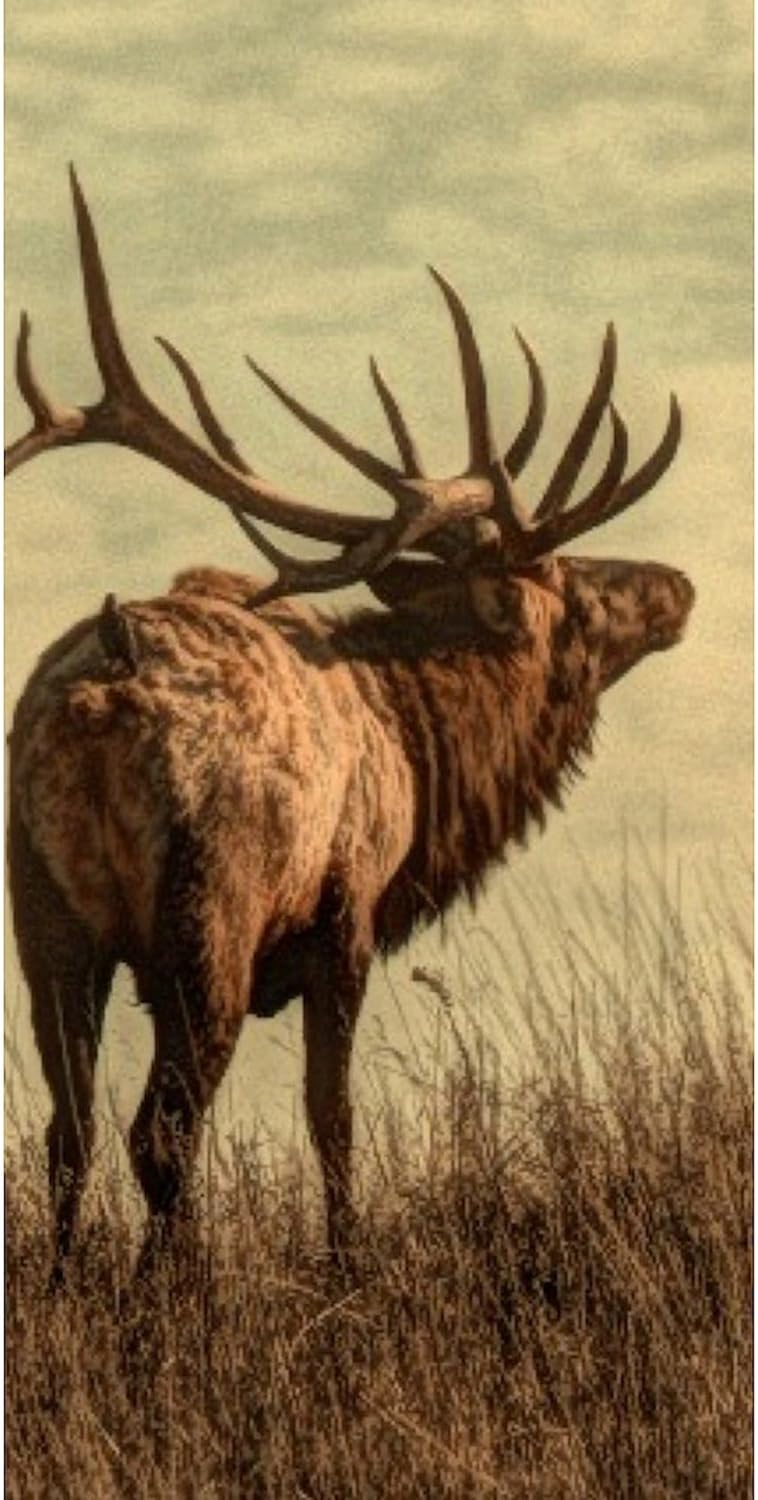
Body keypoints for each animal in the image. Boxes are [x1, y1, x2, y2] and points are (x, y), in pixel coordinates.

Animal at [6, 170, 694, 1285]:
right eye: (576, 595)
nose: (676, 586)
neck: (424, 749)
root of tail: (101, 685)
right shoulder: (347, 918)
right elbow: (333, 1119)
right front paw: (348, 1265)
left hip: (43, 915)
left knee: (66, 1133)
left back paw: (71, 1283)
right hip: (211, 907)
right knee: (160, 1131)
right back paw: (178, 1293)